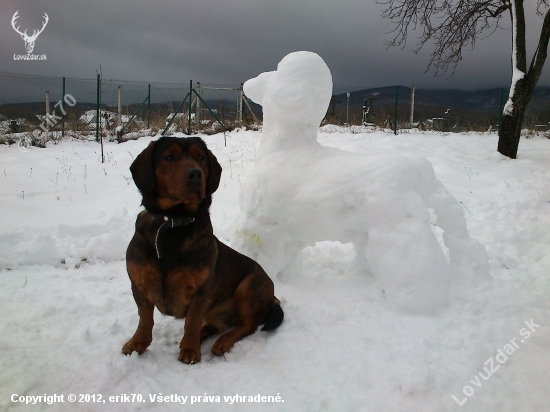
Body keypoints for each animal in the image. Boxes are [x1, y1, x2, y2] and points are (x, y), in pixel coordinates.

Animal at [122, 138, 282, 364]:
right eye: (169, 157)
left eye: (200, 157)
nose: (195, 174)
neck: (174, 223)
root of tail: (273, 297)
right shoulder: (138, 284)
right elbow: (145, 319)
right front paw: (137, 344)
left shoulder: (199, 291)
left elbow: (191, 322)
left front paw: (190, 350)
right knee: (215, 325)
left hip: (249, 286)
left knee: (247, 325)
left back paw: (222, 341)